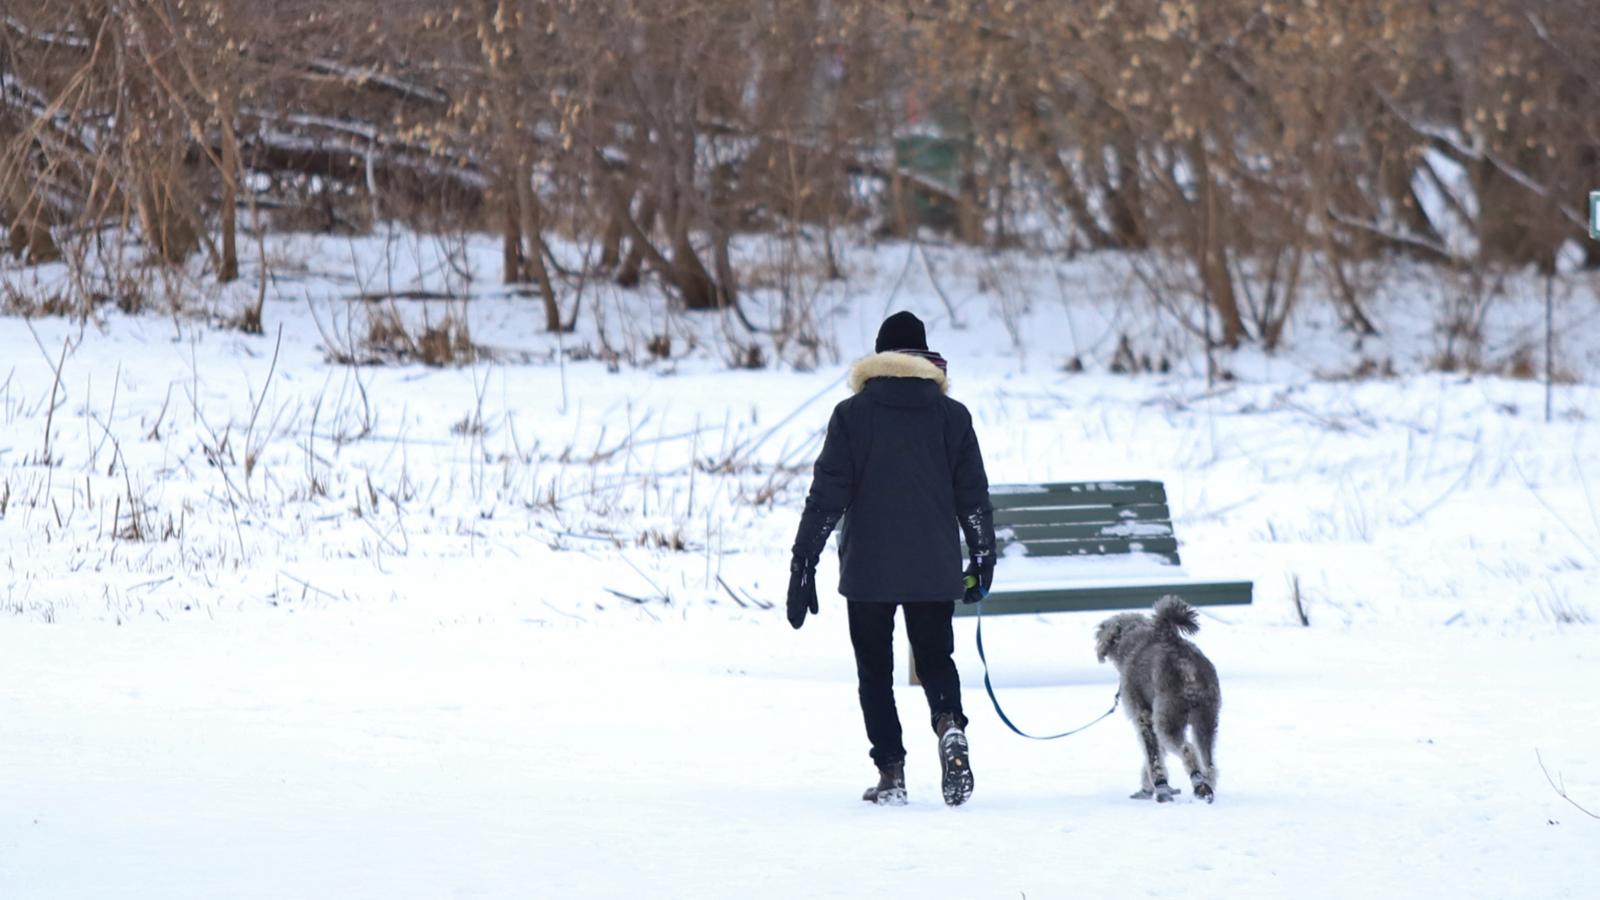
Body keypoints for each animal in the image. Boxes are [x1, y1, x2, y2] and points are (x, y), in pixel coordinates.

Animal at [1094, 595, 1216, 797]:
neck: (1131, 644)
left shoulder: (1143, 716)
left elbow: (1153, 757)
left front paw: (1158, 786)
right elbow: (1155, 755)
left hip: (1168, 720)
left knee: (1188, 750)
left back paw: (1197, 780)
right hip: (1206, 721)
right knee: (1210, 764)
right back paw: (1206, 787)